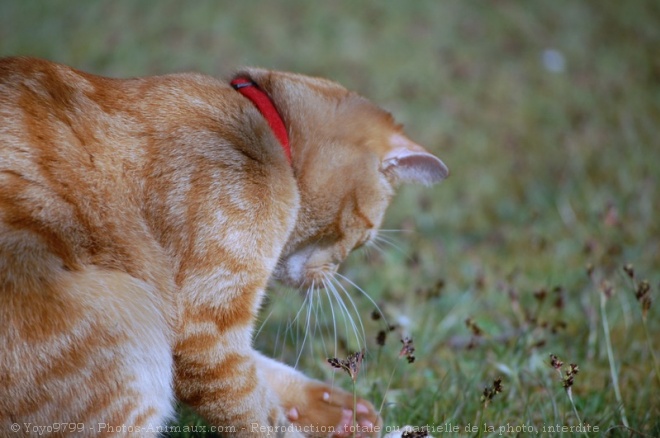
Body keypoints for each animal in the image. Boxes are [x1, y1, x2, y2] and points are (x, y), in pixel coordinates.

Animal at [0, 56, 448, 436]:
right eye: (363, 238)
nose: (331, 277)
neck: (267, 134)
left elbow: (262, 371)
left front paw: (334, 409)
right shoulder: (204, 332)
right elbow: (254, 411)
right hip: (130, 323)